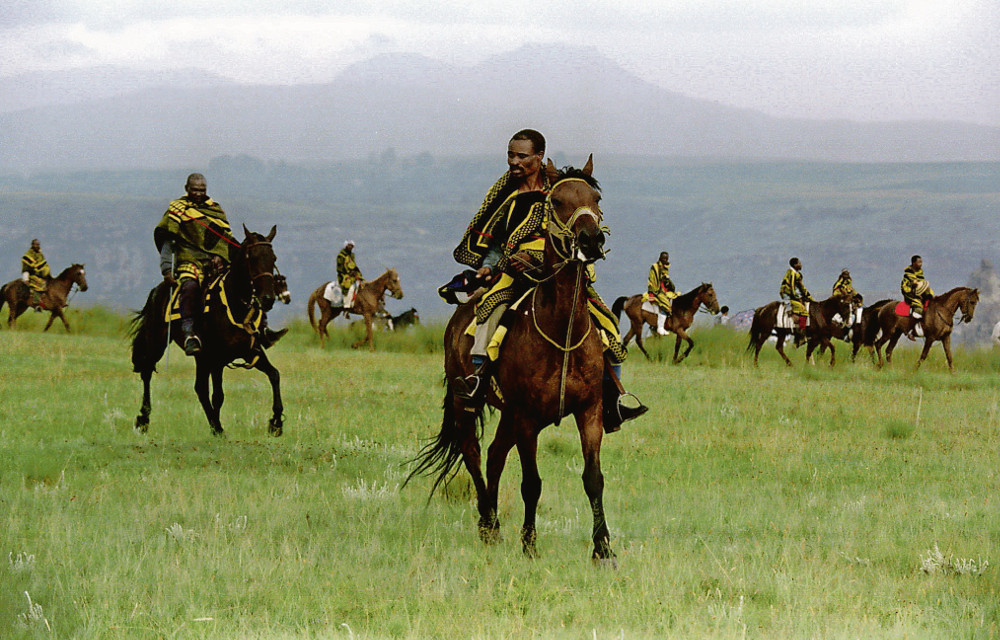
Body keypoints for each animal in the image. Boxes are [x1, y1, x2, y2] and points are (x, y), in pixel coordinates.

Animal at [129, 222, 286, 438]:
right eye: (252, 258)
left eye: (273, 258)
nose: (268, 299)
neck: (234, 303)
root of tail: (158, 290)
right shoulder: (216, 358)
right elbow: (217, 394)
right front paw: (217, 427)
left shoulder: (249, 352)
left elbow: (274, 375)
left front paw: (276, 422)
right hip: (160, 343)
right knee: (148, 372)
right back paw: (144, 419)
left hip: (201, 357)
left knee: (200, 388)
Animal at [406, 158, 616, 564]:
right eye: (558, 201)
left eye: (596, 198)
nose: (590, 240)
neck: (562, 330)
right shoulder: (527, 418)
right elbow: (531, 483)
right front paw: (529, 543)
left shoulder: (590, 410)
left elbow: (593, 479)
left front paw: (603, 548)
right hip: (469, 405)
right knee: (473, 454)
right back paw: (489, 524)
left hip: (508, 414)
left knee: (493, 456)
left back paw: (492, 525)